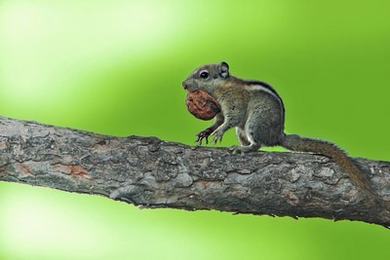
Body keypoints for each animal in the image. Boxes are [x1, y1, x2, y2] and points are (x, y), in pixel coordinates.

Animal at [183, 61, 378, 201]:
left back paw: (243, 148)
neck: (222, 87)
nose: (183, 84)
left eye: (204, 75)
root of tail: (278, 136)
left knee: (257, 145)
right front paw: (207, 131)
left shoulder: (234, 102)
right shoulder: (220, 110)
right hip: (243, 130)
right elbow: (219, 121)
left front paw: (220, 132)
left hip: (255, 122)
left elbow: (231, 119)